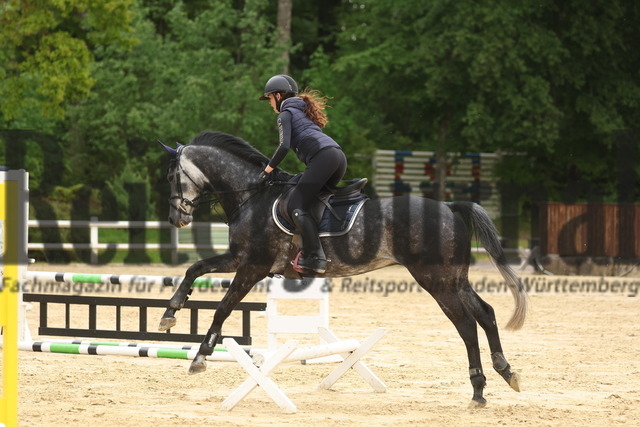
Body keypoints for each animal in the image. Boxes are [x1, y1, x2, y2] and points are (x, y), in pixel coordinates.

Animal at [158, 130, 528, 408]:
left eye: (172, 176)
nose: (176, 218)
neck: (252, 196)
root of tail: (450, 207)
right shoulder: (239, 258)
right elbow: (194, 269)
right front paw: (169, 314)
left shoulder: (253, 266)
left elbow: (223, 308)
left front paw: (200, 357)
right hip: (455, 278)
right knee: (486, 313)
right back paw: (506, 371)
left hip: (435, 280)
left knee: (465, 324)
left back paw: (478, 390)